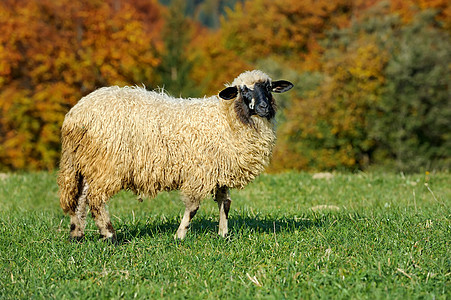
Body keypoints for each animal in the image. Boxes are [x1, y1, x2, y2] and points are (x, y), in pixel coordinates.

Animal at [57, 69, 294, 241]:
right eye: (243, 91)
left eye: (269, 88)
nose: (263, 107)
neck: (226, 118)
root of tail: (75, 115)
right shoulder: (200, 172)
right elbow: (193, 207)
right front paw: (180, 235)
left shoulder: (219, 168)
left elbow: (225, 203)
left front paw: (223, 234)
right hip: (106, 163)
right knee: (96, 199)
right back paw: (110, 235)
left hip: (87, 161)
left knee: (80, 197)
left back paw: (76, 234)